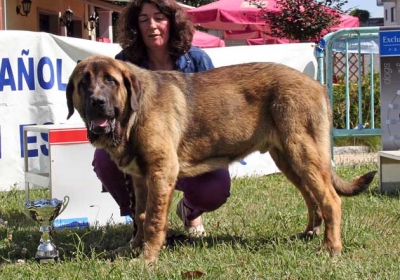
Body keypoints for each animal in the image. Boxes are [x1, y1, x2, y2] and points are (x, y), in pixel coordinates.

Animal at [65, 54, 376, 262]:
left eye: (111, 81)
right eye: (84, 83)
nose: (97, 103)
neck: (131, 117)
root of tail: (319, 85)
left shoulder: (161, 172)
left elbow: (153, 218)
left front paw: (147, 257)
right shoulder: (141, 179)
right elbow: (140, 215)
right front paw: (134, 248)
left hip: (303, 153)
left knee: (331, 200)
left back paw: (331, 248)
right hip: (288, 160)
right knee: (313, 199)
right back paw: (310, 233)